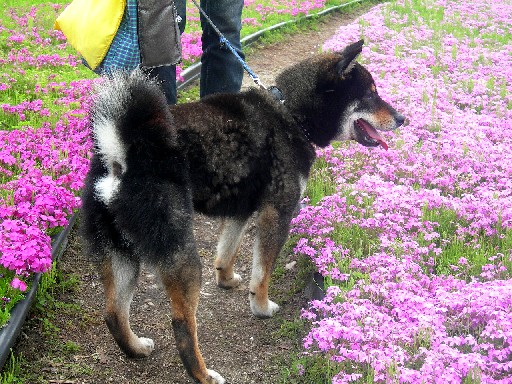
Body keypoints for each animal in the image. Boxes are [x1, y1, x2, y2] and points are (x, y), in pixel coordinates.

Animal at [81, 40, 404, 382]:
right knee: (181, 324)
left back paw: (135, 348)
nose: (402, 118)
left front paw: (226, 279)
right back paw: (203, 374)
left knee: (113, 312)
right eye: (370, 93)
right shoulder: (277, 214)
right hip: (179, 253)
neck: (290, 113)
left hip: (121, 252)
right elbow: (261, 275)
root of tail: (121, 157)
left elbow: (227, 251)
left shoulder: (241, 210)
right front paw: (260, 307)